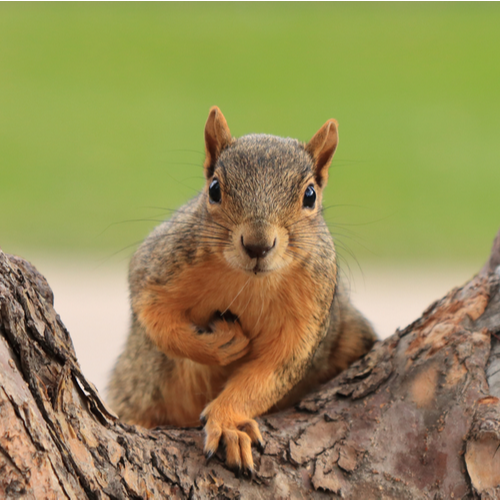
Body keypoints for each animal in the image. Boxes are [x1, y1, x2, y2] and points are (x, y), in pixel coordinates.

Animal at [107, 105, 376, 472]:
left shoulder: (310, 312)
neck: (249, 282)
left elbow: (271, 372)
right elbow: (155, 319)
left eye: (310, 196)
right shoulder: (159, 266)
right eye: (214, 189)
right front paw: (219, 344)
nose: (257, 245)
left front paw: (228, 423)